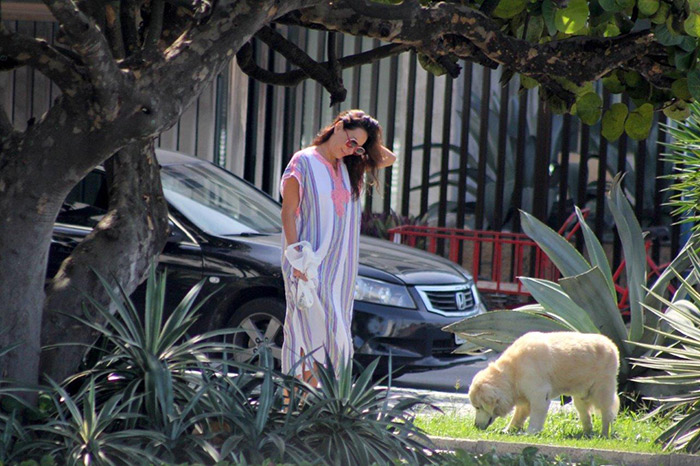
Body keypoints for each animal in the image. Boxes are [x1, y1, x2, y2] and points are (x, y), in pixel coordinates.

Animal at [468, 332, 620, 436]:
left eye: (477, 407)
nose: (475, 426)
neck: (512, 371)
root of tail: (611, 345)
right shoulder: (524, 394)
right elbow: (519, 414)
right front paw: (508, 430)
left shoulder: (539, 393)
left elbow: (536, 414)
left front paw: (530, 432)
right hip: (580, 396)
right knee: (585, 414)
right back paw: (587, 433)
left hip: (601, 390)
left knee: (607, 413)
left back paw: (604, 434)